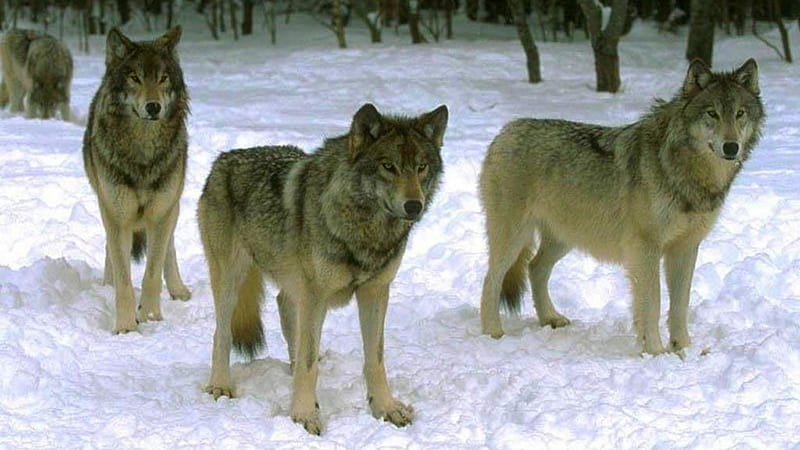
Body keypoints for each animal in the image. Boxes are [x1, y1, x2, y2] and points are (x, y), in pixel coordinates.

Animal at [83, 24, 192, 334]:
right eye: (135, 78)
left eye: (163, 78)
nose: (153, 107)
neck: (143, 153)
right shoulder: (117, 215)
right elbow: (124, 279)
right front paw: (126, 327)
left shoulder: (162, 212)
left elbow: (153, 272)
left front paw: (152, 316)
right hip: (107, 204)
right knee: (110, 250)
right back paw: (106, 284)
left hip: (172, 205)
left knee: (169, 248)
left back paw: (178, 289)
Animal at [198, 103, 450, 436]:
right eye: (388, 166)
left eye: (421, 167)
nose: (414, 206)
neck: (364, 229)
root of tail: (224, 158)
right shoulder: (316, 296)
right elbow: (309, 367)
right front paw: (304, 415)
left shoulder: (375, 292)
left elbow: (375, 359)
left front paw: (385, 408)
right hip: (232, 281)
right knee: (221, 333)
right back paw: (220, 385)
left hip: (293, 285)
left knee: (286, 311)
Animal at [478, 59, 764, 356]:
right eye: (712, 114)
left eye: (740, 114)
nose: (731, 147)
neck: (685, 171)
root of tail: (505, 130)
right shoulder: (645, 248)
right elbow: (653, 303)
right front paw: (655, 351)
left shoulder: (685, 248)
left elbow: (680, 305)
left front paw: (684, 348)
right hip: (514, 239)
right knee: (491, 279)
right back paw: (493, 332)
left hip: (564, 238)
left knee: (534, 268)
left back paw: (550, 318)